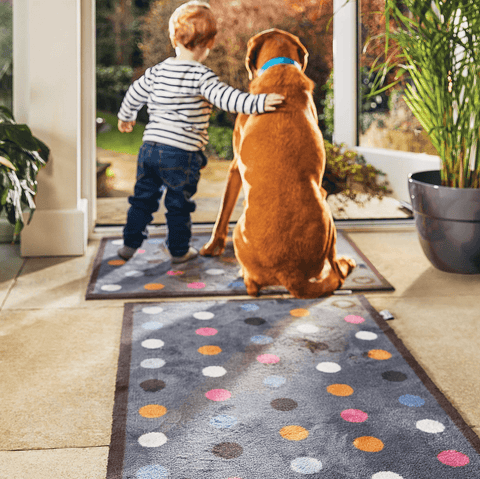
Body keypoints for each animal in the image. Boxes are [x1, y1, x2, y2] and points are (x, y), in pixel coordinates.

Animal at [200, 28, 356, 298]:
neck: (280, 66)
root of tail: (290, 274)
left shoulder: (234, 168)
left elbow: (222, 214)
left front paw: (212, 247)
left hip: (241, 231)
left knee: (253, 286)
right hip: (327, 212)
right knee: (334, 271)